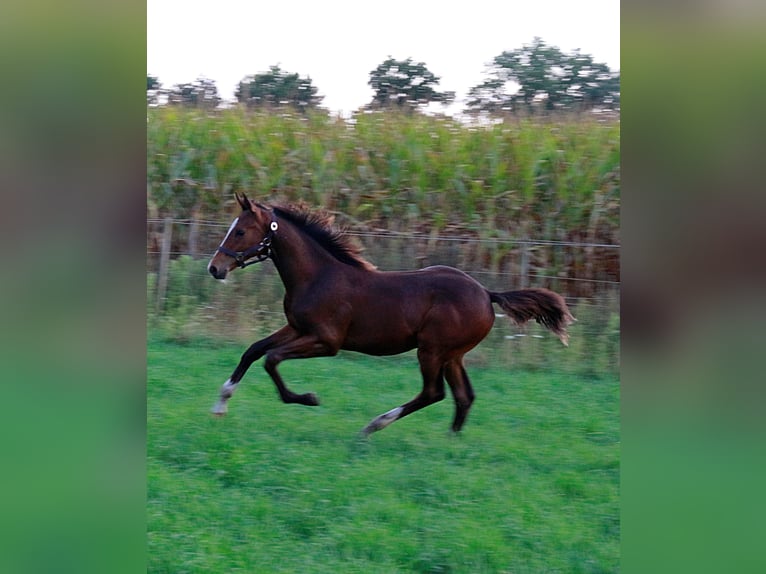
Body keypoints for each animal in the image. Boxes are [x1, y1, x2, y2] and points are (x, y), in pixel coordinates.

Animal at [207, 193, 574, 436]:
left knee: (434, 393)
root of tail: (487, 294)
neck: (318, 276)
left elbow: (271, 360)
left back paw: (374, 425)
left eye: (240, 231)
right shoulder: (296, 328)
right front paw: (220, 404)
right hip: (453, 355)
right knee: (463, 396)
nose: (215, 268)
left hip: (432, 350)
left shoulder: (326, 341)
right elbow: (254, 350)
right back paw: (450, 441)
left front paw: (309, 398)